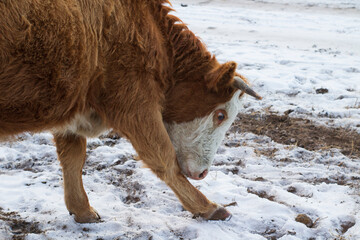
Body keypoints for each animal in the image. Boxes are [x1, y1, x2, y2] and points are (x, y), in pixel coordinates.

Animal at [0, 0, 260, 223]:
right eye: (220, 115)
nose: (203, 173)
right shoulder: (134, 101)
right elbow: (163, 158)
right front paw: (206, 207)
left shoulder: (74, 108)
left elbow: (72, 158)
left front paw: (82, 209)